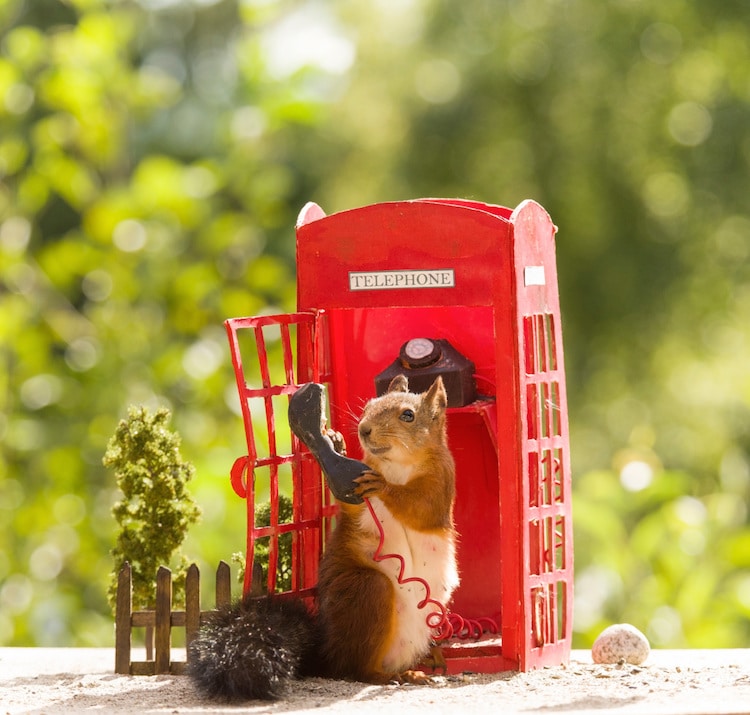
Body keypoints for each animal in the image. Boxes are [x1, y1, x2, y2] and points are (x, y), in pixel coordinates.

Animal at [187, 378, 458, 704]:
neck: (397, 463)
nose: (363, 429)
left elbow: (420, 506)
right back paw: (400, 673)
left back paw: (422, 663)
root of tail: (327, 655)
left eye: (408, 415)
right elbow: (352, 504)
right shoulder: (356, 496)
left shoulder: (441, 482)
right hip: (368, 591)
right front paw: (336, 442)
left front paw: (382, 485)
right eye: (368, 405)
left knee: (355, 669)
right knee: (353, 670)